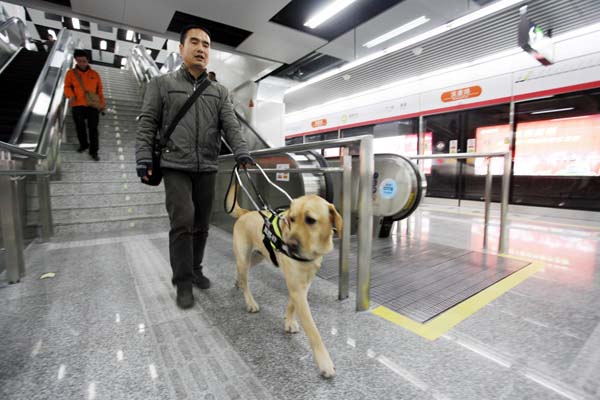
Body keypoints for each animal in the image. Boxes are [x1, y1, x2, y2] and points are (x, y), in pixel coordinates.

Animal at [227, 186, 342, 376]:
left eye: (310, 220)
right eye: (291, 219)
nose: (289, 245)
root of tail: (246, 212)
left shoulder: (303, 284)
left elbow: (291, 304)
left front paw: (288, 322)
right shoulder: (296, 286)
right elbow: (313, 331)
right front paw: (325, 363)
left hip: (257, 257)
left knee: (242, 273)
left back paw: (237, 282)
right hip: (244, 257)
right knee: (246, 281)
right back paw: (250, 302)